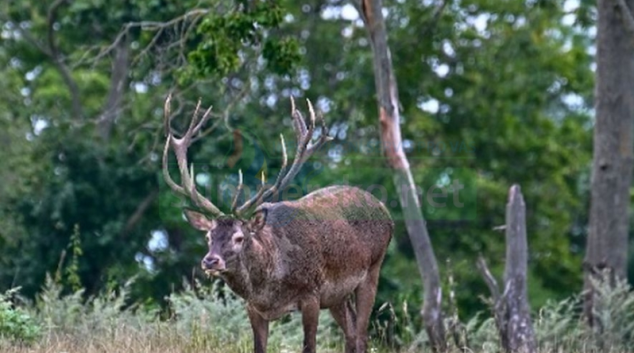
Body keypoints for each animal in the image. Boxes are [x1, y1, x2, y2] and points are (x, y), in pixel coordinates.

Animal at [162, 94, 390, 352]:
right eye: (208, 236)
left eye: (239, 237)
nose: (210, 261)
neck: (269, 290)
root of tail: (385, 210)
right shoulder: (253, 308)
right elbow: (259, 347)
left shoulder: (311, 294)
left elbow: (309, 346)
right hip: (338, 296)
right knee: (351, 333)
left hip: (372, 269)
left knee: (361, 336)